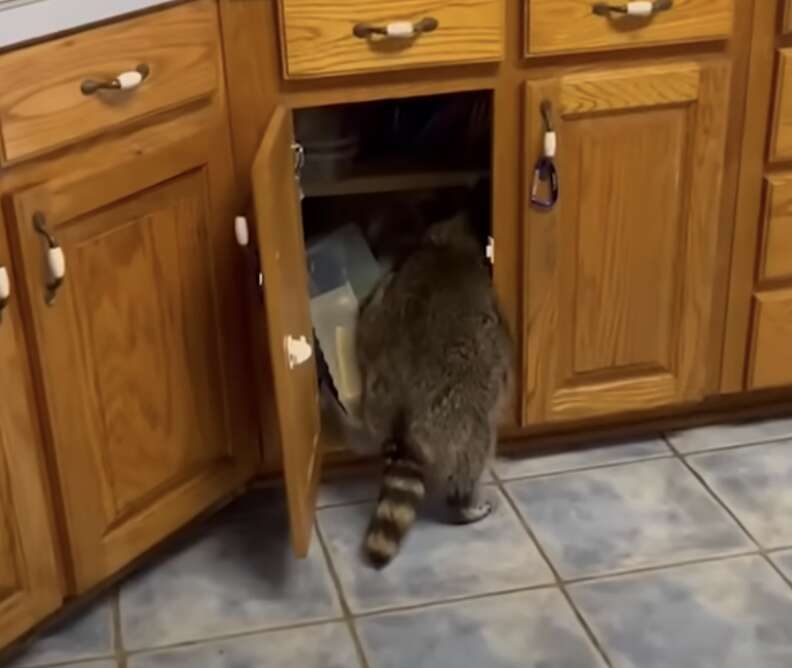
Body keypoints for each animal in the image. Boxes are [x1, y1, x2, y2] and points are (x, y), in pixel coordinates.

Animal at [354, 211, 512, 568]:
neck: (448, 246)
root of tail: (403, 404)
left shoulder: (388, 289)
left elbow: (368, 315)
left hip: (376, 398)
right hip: (459, 411)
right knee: (475, 452)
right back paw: (465, 504)